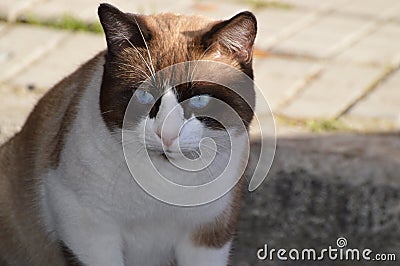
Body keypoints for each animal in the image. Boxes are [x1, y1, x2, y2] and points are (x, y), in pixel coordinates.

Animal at [0, 2, 256, 266]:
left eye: (199, 100)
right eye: (143, 96)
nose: (166, 134)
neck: (165, 184)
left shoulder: (207, 237)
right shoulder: (88, 232)